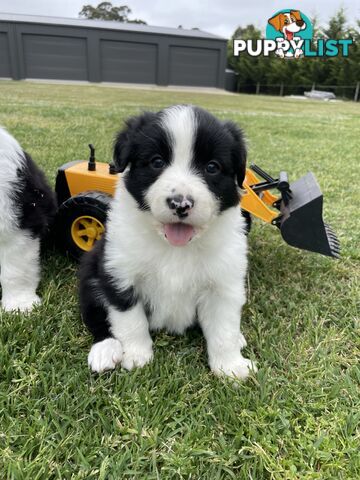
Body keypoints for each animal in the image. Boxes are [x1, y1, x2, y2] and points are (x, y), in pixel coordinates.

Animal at [80, 105, 258, 378]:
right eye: (157, 162)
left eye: (212, 167)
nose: (180, 204)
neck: (176, 248)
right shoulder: (119, 274)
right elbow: (131, 320)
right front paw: (137, 356)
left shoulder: (223, 284)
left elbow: (223, 331)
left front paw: (230, 367)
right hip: (91, 271)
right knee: (96, 315)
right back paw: (105, 350)